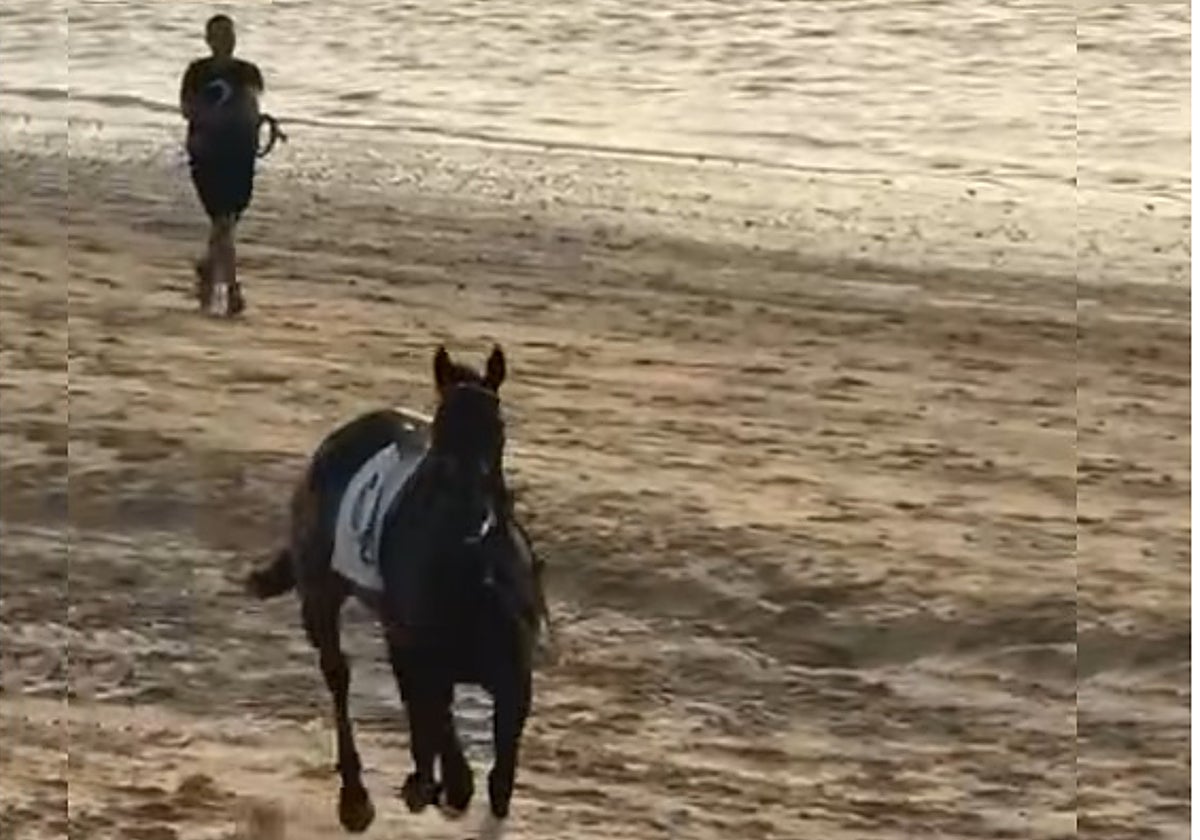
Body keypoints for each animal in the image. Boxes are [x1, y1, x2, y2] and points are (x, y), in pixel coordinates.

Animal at [246, 344, 544, 839]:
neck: (470, 569)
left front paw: (431, 786)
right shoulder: (427, 657)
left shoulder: (513, 680)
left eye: (497, 427)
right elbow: (455, 762)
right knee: (339, 677)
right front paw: (432, 789)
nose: (470, 506)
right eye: (441, 431)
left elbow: (499, 780)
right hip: (321, 597)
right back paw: (357, 799)